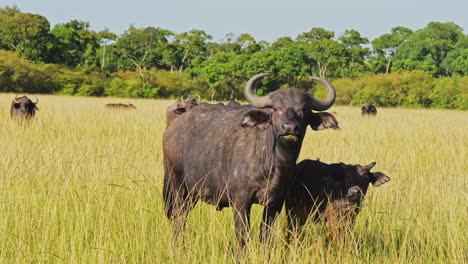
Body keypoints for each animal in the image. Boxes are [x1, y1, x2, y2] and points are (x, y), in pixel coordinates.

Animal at [163, 73, 338, 251]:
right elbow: (242, 237)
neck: (273, 165)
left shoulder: (275, 205)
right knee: (178, 218)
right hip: (177, 188)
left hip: (192, 194)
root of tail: (173, 128)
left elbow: (265, 236)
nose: (289, 128)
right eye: (274, 109)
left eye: (304, 110)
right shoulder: (241, 202)